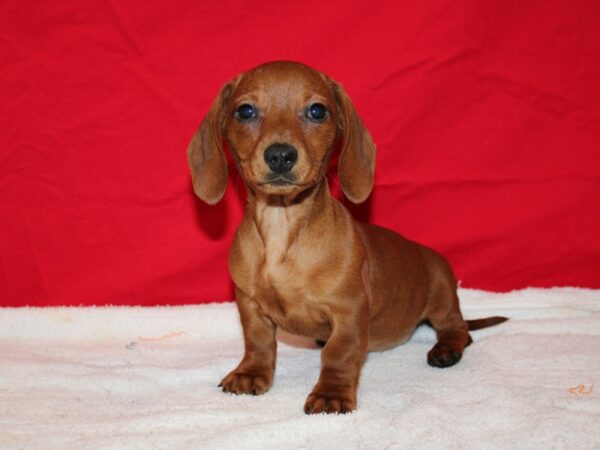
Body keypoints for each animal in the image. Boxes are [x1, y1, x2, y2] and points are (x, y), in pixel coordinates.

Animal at [188, 60, 506, 414]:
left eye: (317, 111)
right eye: (245, 111)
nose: (280, 155)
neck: (282, 228)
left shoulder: (348, 312)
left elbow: (339, 354)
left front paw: (332, 393)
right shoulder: (249, 304)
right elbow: (258, 342)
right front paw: (251, 373)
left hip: (442, 297)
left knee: (459, 329)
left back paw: (446, 350)